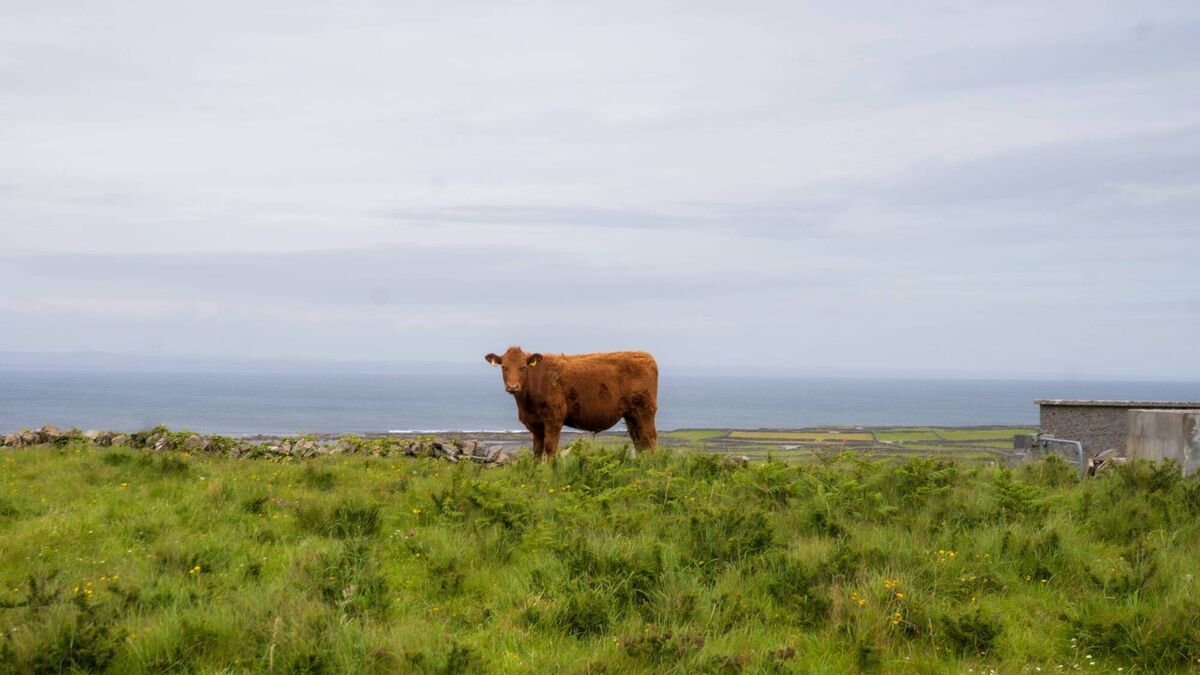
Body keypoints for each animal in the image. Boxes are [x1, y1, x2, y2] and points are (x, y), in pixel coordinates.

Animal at [485, 346, 659, 459]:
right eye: (504, 367)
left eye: (523, 367)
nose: (513, 386)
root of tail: (645, 355)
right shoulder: (536, 425)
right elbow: (537, 450)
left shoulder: (554, 417)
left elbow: (550, 447)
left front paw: (549, 474)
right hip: (631, 415)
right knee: (639, 441)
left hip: (645, 411)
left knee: (650, 438)